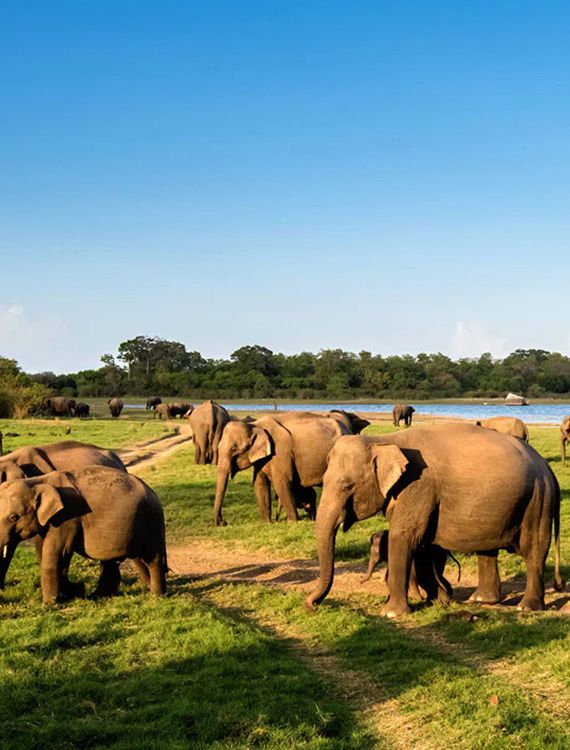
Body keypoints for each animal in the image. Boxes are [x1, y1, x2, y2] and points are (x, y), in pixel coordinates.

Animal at [0, 466, 167, 603]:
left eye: (13, 517)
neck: (36, 481)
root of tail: (153, 493)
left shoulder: (68, 517)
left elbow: (58, 553)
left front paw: (49, 605)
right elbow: (47, 553)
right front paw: (77, 590)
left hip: (151, 521)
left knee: (153, 558)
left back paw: (156, 596)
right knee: (117, 560)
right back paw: (98, 596)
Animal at [213, 411, 354, 526]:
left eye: (234, 449)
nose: (222, 522)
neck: (255, 425)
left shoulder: (281, 452)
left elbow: (281, 482)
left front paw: (293, 523)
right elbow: (260, 484)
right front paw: (267, 523)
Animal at [305, 424, 563, 617]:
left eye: (346, 486)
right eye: (324, 481)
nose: (310, 605)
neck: (382, 440)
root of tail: (548, 469)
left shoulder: (419, 487)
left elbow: (404, 536)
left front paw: (391, 613)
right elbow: (421, 544)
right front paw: (440, 600)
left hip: (537, 500)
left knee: (534, 549)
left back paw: (526, 607)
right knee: (487, 550)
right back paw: (480, 600)